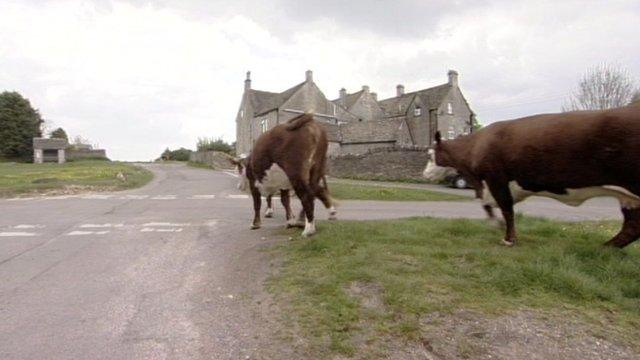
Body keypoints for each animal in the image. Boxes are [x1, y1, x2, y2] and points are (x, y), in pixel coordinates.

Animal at [424, 105, 640, 248]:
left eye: (431, 154)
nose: (424, 174)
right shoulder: (489, 186)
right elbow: (487, 206)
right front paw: (496, 225)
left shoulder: (497, 179)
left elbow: (507, 210)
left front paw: (508, 239)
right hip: (628, 196)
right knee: (631, 226)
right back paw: (606, 247)